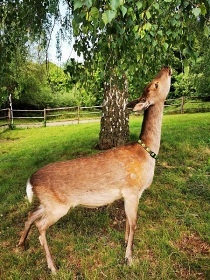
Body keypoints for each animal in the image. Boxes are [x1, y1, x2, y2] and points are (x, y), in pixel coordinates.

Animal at [18, 66, 172, 274]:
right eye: (155, 84)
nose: (166, 67)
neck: (147, 153)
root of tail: (30, 181)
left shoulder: (128, 194)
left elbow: (127, 221)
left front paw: (125, 242)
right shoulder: (132, 190)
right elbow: (133, 223)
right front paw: (129, 258)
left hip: (48, 202)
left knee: (31, 215)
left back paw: (21, 244)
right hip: (58, 206)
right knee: (40, 226)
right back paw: (53, 267)